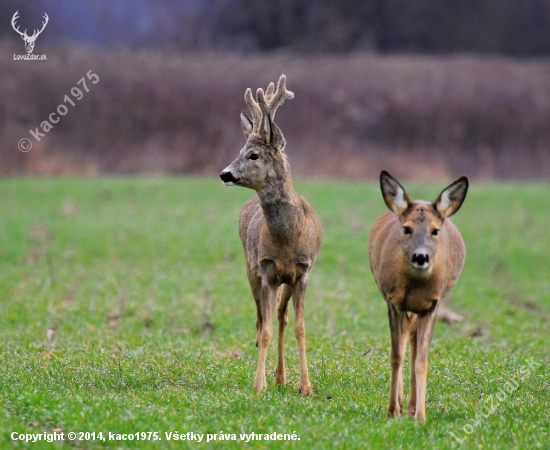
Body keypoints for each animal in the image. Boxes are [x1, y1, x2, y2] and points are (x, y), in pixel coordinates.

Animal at [221, 74, 324, 394]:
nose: (225, 173)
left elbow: (300, 327)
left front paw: (306, 386)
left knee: (281, 316)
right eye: (239, 151)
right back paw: (271, 376)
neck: (287, 239)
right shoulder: (267, 271)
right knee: (260, 320)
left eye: (253, 155)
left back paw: (281, 376)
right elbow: (264, 330)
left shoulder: (302, 272)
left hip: (286, 280)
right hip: (251, 269)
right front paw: (258, 386)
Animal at [370, 171, 470, 420]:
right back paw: (402, 402)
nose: (421, 257)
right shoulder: (392, 301)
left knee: (413, 340)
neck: (414, 287)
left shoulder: (432, 304)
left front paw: (421, 416)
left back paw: (412, 405)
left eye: (435, 231)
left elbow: (421, 360)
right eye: (407, 229)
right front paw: (392, 410)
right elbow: (396, 355)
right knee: (406, 337)